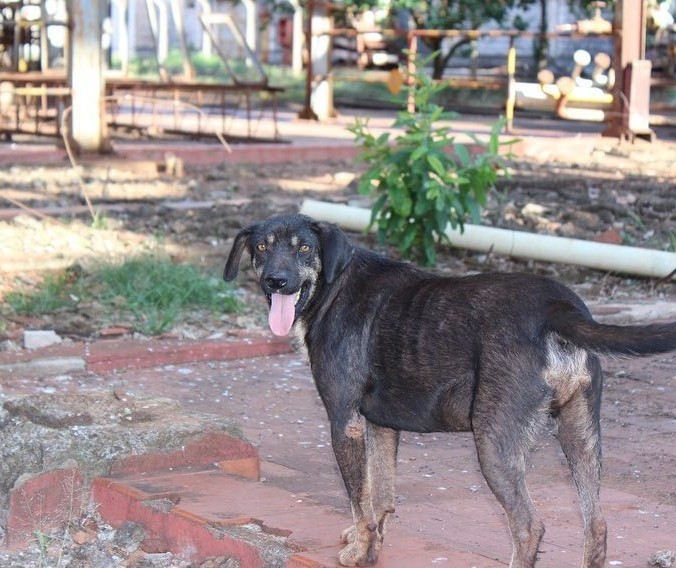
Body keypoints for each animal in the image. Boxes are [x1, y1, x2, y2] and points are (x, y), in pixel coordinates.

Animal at [224, 214, 676, 568]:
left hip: (493, 441)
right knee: (596, 524)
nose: (276, 281)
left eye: (303, 248)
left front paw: (360, 552)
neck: (332, 286)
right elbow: (379, 495)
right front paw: (368, 543)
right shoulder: (380, 424)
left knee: (528, 527)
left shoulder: (344, 422)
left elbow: (357, 497)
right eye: (261, 247)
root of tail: (559, 309)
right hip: (580, 434)